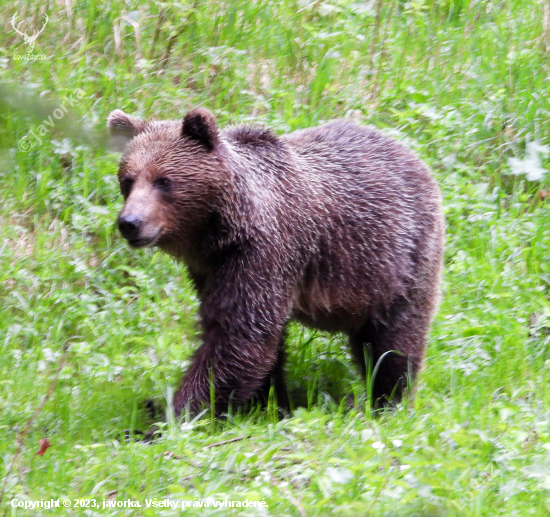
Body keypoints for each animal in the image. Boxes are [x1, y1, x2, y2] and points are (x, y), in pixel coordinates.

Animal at [109, 107, 448, 418]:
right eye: (128, 180)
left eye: (163, 180)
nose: (130, 223)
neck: (218, 233)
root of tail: (409, 152)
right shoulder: (211, 270)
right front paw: (269, 404)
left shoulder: (264, 253)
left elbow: (239, 335)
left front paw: (171, 416)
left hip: (397, 260)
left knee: (394, 339)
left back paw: (388, 402)